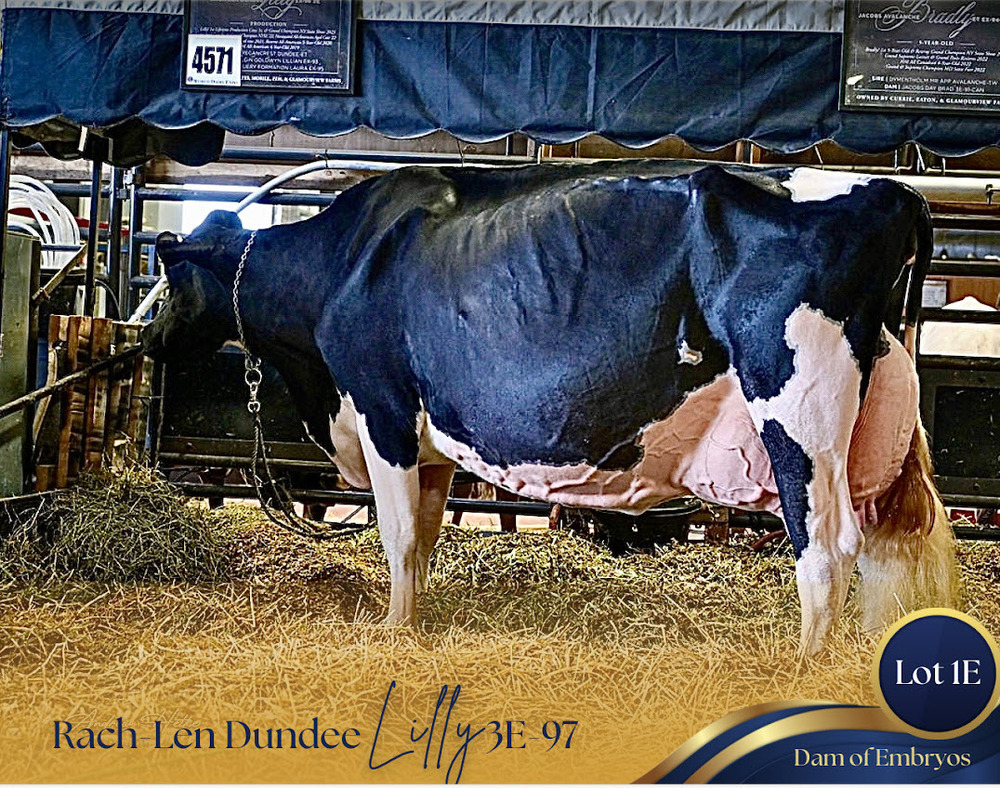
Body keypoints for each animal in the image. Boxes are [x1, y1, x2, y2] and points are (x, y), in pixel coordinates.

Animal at [141, 161, 956, 655]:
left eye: (171, 281)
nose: (144, 338)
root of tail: (895, 191)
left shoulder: (383, 409)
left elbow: (397, 536)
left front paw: (395, 631)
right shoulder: (434, 441)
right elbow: (426, 536)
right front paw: (419, 618)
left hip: (799, 410)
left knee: (826, 549)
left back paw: (803, 671)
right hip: (874, 425)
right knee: (886, 545)